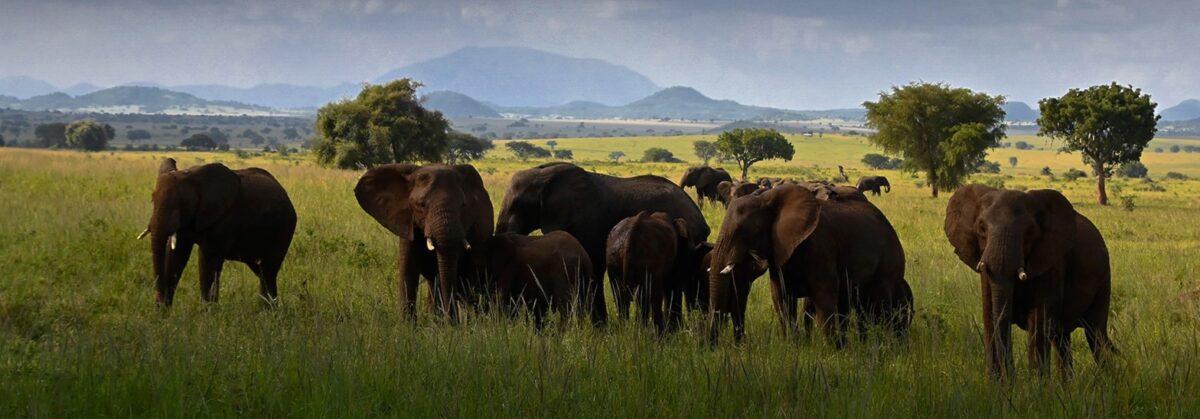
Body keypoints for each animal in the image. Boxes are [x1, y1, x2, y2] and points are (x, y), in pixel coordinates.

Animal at [142, 158, 296, 307]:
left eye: (183, 204)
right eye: (152, 200)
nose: (160, 305)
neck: (191, 176)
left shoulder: (224, 220)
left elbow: (207, 261)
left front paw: (208, 313)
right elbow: (175, 256)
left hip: (284, 229)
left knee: (268, 272)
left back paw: (268, 311)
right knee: (261, 271)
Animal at [355, 163, 494, 321]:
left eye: (463, 205)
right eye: (421, 205)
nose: (453, 320)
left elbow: (442, 275)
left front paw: (444, 323)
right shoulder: (408, 226)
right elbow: (408, 272)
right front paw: (408, 325)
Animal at [496, 162, 710, 325]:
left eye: (517, 205)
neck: (545, 175)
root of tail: (701, 220)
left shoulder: (586, 220)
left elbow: (592, 265)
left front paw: (595, 326)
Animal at [708, 184, 911, 345]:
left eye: (743, 230)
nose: (713, 346)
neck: (767, 199)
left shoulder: (820, 247)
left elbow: (824, 297)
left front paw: (834, 353)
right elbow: (781, 298)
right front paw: (793, 346)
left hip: (888, 264)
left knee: (878, 306)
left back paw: (884, 346)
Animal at [945, 185, 1116, 380]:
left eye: (1029, 233)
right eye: (981, 228)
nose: (1010, 375)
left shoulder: (1051, 261)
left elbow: (1038, 323)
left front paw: (1035, 386)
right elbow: (989, 317)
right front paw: (996, 385)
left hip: (1104, 279)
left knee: (1095, 334)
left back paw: (1108, 380)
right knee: (1062, 338)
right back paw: (1067, 385)